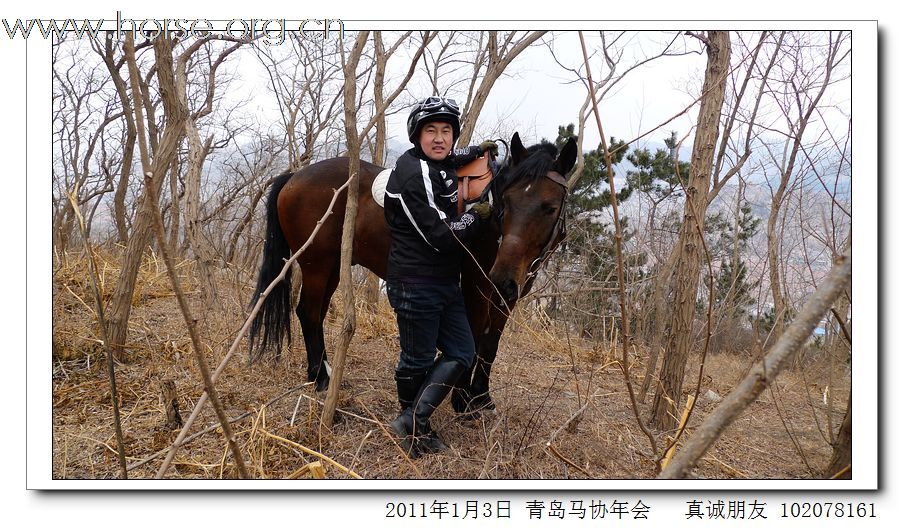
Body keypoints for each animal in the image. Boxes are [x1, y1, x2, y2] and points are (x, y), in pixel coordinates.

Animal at [245, 131, 580, 412]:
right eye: (505, 201)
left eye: (549, 207)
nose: (502, 276)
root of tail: (294, 176)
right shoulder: (477, 287)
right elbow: (474, 337)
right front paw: (462, 400)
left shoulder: (507, 296)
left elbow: (490, 344)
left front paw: (482, 397)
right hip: (317, 265)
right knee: (310, 312)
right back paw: (322, 378)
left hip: (332, 269)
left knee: (313, 313)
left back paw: (324, 371)